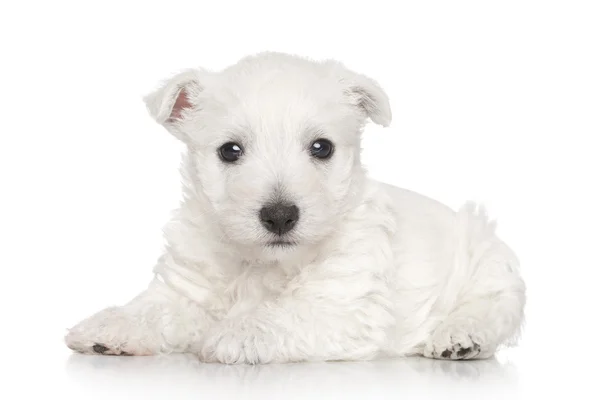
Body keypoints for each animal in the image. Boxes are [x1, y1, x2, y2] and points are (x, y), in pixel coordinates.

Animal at [64, 51, 524, 364]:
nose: (280, 216)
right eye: (230, 150)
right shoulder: (188, 286)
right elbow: (155, 309)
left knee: (495, 307)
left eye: (322, 147)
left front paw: (237, 334)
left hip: (486, 256)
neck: (262, 265)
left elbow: (285, 314)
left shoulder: (344, 304)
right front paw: (111, 326)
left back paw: (460, 337)